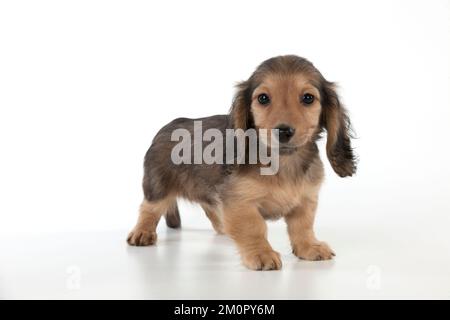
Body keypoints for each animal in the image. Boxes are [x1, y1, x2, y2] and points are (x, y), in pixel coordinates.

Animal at [126, 55, 356, 270]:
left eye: (308, 98)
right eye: (263, 98)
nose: (283, 131)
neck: (283, 161)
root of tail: (167, 126)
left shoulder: (306, 199)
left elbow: (302, 226)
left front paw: (309, 247)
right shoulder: (240, 201)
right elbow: (254, 227)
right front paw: (261, 253)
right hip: (158, 186)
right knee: (149, 209)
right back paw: (142, 232)